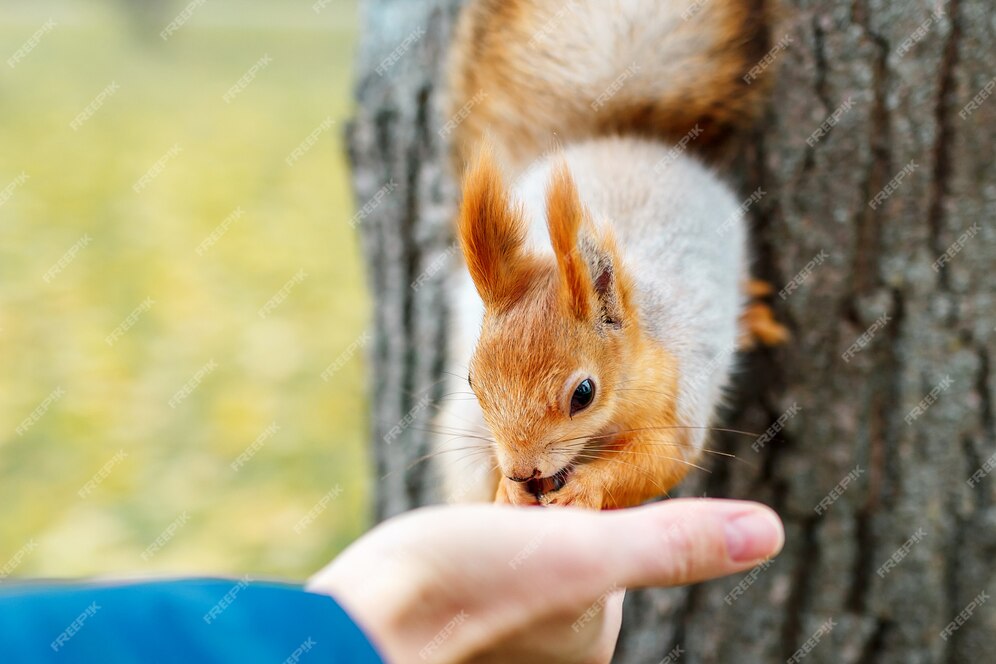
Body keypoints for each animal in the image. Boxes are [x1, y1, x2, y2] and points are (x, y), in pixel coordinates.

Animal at [434, 0, 784, 508]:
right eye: (472, 381)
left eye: (584, 393)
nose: (521, 470)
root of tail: (619, 139)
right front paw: (509, 492)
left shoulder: (681, 388)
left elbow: (659, 460)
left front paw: (586, 488)